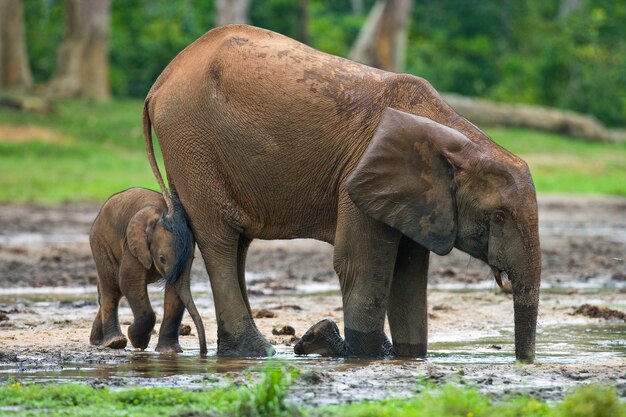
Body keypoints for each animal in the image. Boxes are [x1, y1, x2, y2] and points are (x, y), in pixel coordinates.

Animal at [89, 187, 206, 352]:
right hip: (100, 241)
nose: (203, 352)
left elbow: (175, 293)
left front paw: (169, 351)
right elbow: (129, 281)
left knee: (114, 290)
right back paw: (115, 342)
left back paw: (98, 341)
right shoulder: (134, 245)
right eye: (162, 259)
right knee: (112, 287)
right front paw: (139, 342)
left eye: (192, 258)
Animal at [141, 23, 536, 360]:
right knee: (220, 241)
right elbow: (360, 267)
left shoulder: (417, 200)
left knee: (228, 242)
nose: (524, 363)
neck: (453, 138)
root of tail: (160, 81)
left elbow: (409, 276)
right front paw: (362, 356)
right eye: (498, 216)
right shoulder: (359, 177)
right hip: (193, 144)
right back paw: (256, 352)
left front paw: (407, 357)